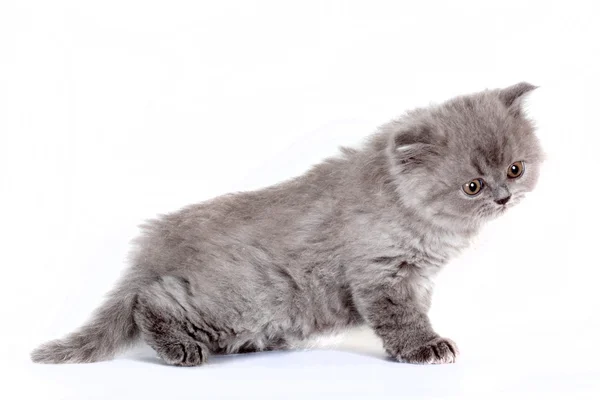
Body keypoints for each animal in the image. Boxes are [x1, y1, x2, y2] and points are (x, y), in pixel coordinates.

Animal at [30, 83, 540, 366]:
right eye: (472, 186)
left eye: (515, 169)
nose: (503, 196)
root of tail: (154, 243)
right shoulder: (381, 272)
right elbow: (401, 317)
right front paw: (424, 347)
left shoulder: (418, 277)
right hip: (239, 298)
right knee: (148, 302)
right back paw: (180, 348)